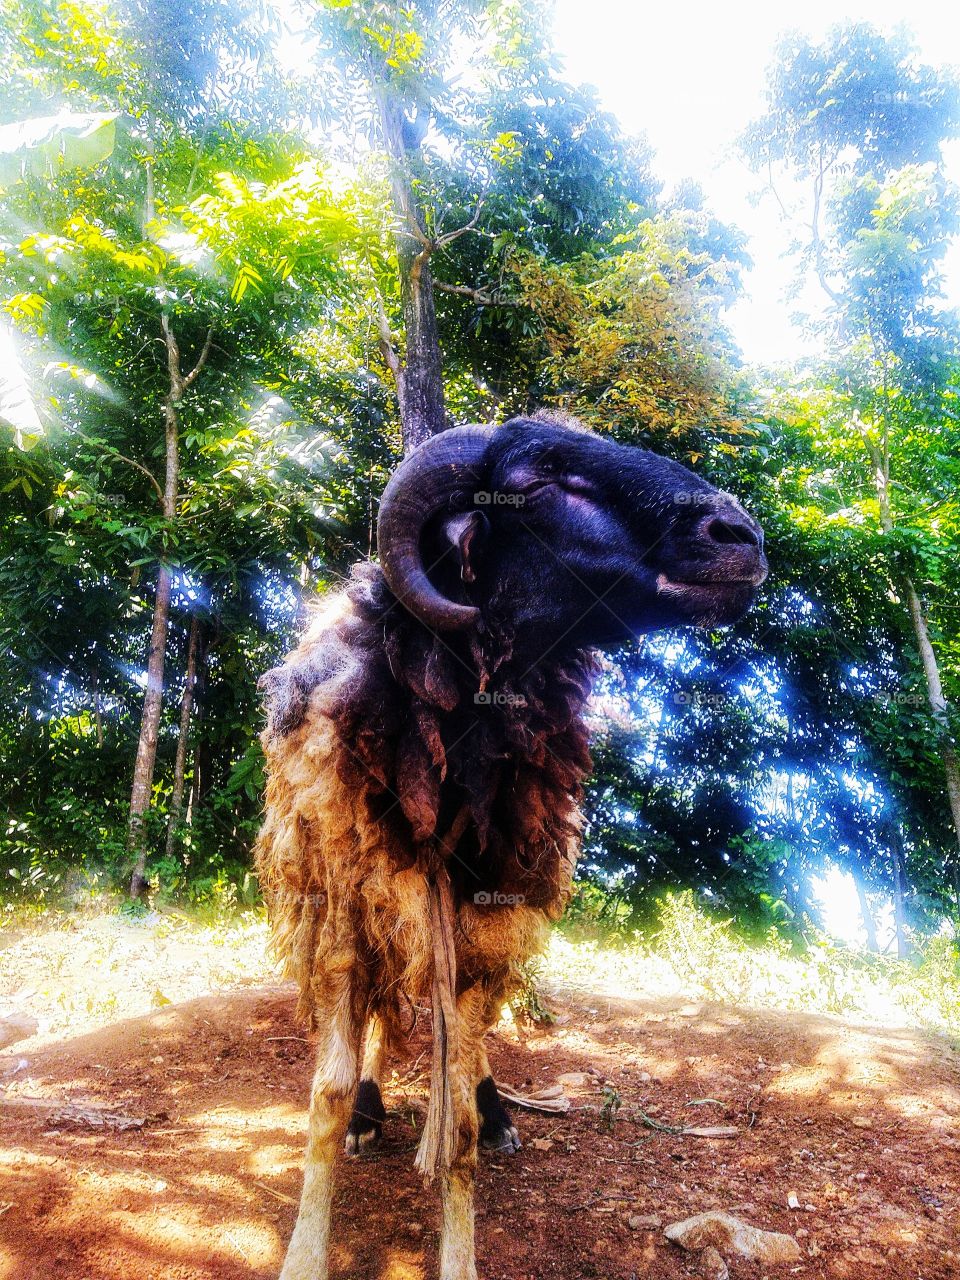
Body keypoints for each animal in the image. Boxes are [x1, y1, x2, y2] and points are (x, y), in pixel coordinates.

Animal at [255, 414, 767, 1280]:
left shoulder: (480, 909)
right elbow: (326, 1092)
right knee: (382, 1021)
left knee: (470, 1046)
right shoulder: (347, 910)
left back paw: (496, 1112)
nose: (742, 537)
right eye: (537, 484)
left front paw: (463, 1226)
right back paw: (370, 1113)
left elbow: (457, 1115)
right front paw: (306, 1247)